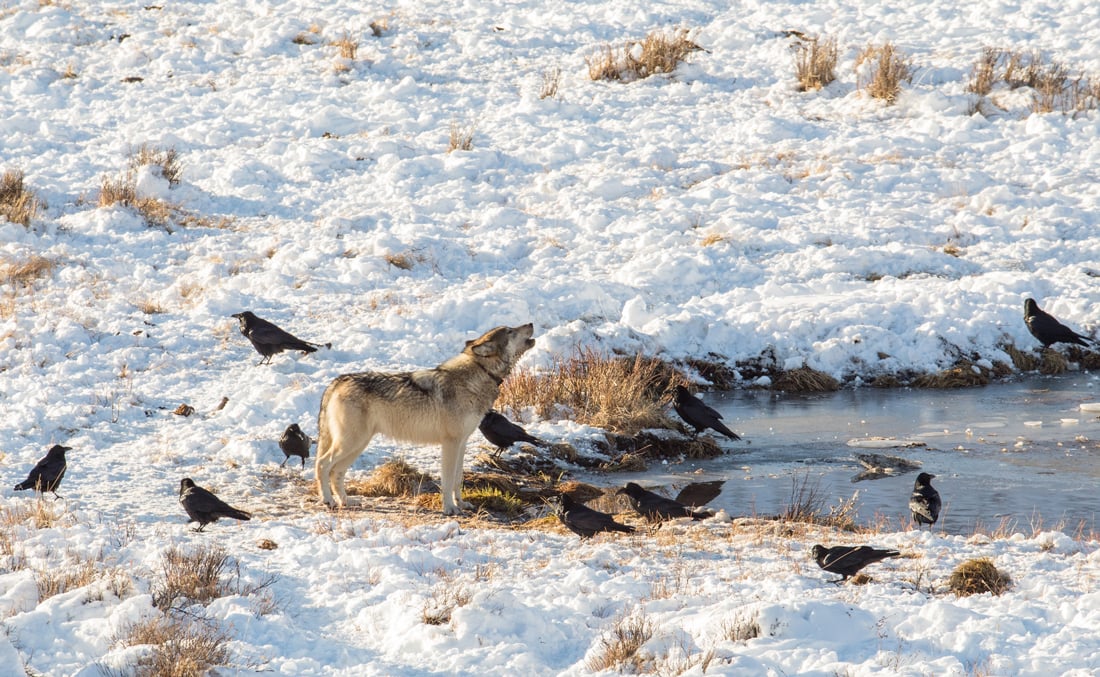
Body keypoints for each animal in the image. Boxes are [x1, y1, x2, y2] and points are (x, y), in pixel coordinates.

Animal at [314, 323, 536, 512]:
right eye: (510, 331)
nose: (531, 323)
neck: (478, 376)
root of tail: (337, 381)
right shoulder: (450, 443)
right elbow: (447, 480)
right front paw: (450, 509)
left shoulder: (462, 443)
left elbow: (458, 479)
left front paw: (461, 504)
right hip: (351, 443)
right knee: (323, 465)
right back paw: (328, 501)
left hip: (357, 445)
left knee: (336, 472)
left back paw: (345, 501)